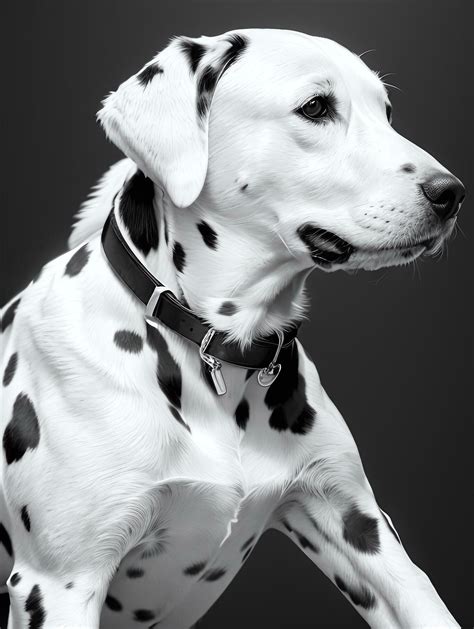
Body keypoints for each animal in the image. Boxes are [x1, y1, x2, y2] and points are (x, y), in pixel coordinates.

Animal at [0, 27, 466, 624]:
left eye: (386, 113)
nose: (451, 193)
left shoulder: (362, 530)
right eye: (316, 107)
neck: (217, 349)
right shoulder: (59, 584)